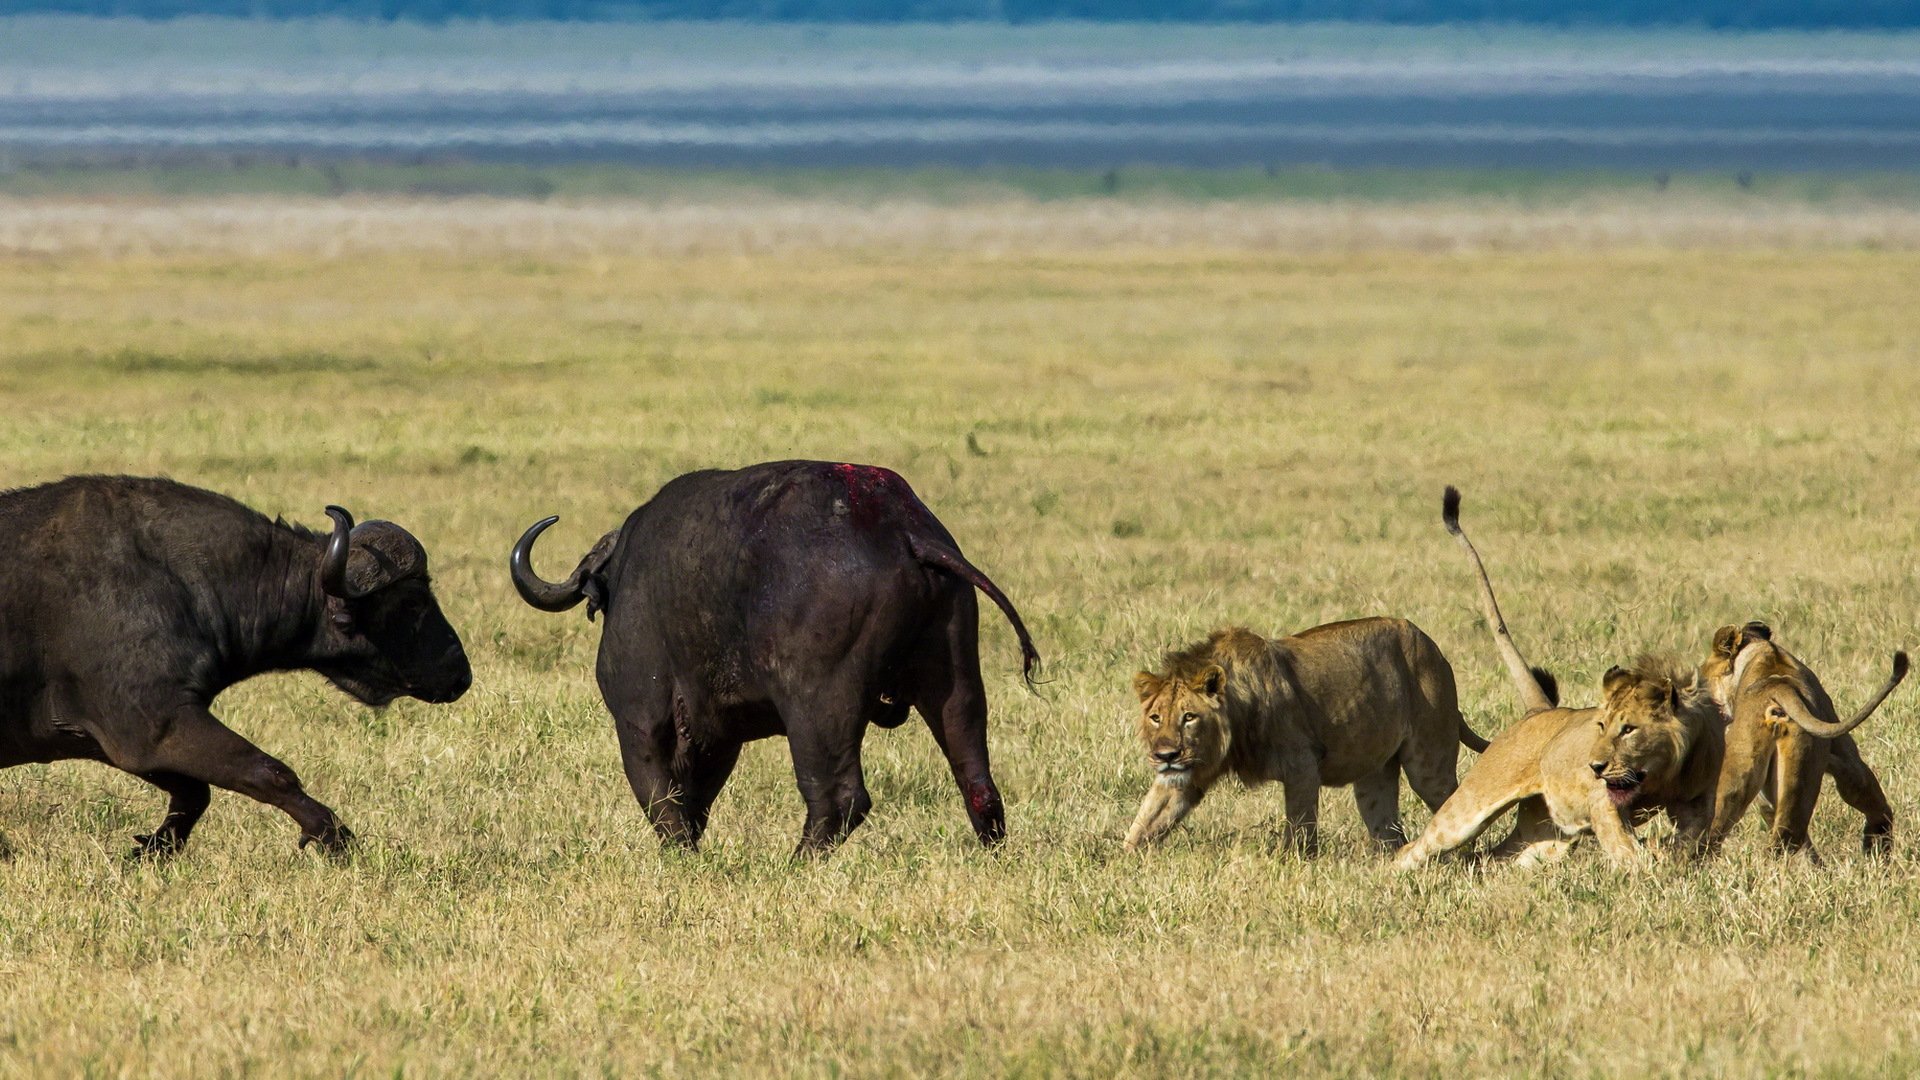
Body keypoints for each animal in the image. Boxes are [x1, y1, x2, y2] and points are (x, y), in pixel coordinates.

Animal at [1122, 618, 1490, 855]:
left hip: (1428, 763)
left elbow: (1300, 828)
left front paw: (1292, 864)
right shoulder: (1185, 777)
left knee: (1454, 804)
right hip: (1374, 773)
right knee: (1387, 828)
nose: (1166, 756)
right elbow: (1147, 821)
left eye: (1189, 717)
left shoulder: (1302, 766)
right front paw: (1123, 862)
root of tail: (1435, 650)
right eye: (1156, 718)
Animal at [1393, 488, 1724, 870]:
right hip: (1470, 809)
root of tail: (1539, 711)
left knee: (1495, 859)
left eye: (1629, 729)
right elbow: (1626, 847)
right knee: (1418, 846)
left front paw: (1673, 859)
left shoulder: (1697, 801)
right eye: (1601, 725)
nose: (1595, 766)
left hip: (1542, 838)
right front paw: (1646, 862)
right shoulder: (1603, 802)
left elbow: (1690, 837)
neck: (1662, 770)